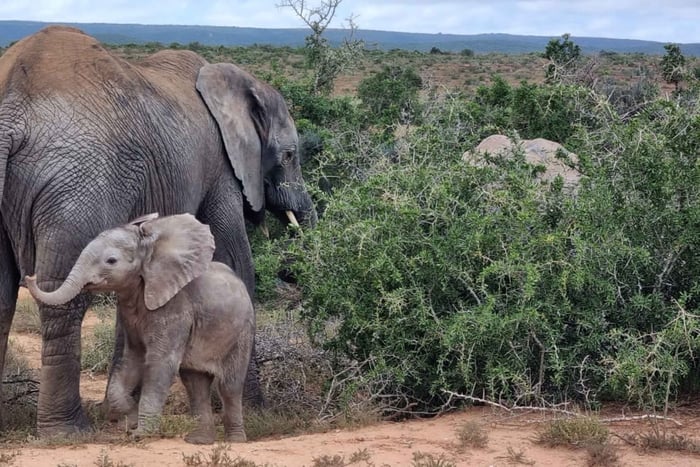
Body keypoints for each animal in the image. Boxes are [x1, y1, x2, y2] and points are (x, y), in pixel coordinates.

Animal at [26, 213, 254, 444]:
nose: (29, 276)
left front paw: (140, 433)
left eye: (111, 261)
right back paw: (199, 440)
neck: (150, 247)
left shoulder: (175, 307)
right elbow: (132, 358)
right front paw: (131, 418)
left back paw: (235, 440)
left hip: (242, 332)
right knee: (195, 384)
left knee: (229, 385)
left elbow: (160, 362)